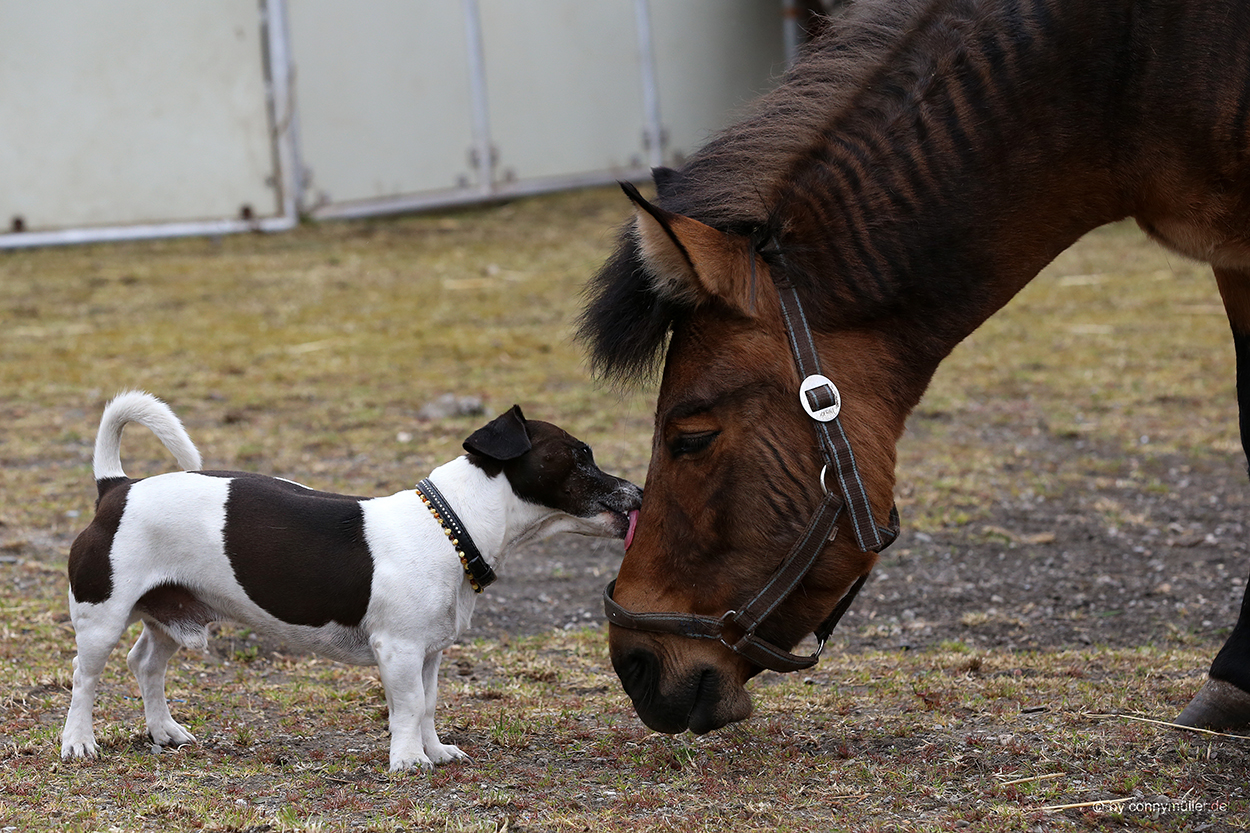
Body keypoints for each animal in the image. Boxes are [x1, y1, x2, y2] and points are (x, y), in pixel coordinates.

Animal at [59, 392, 640, 770]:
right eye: (582, 454)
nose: (638, 491)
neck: (451, 525)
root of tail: (117, 488)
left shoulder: (430, 653)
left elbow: (428, 704)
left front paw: (434, 750)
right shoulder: (399, 650)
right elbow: (407, 706)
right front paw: (408, 760)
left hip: (171, 613)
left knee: (145, 664)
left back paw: (164, 731)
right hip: (101, 618)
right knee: (84, 678)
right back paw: (78, 742)